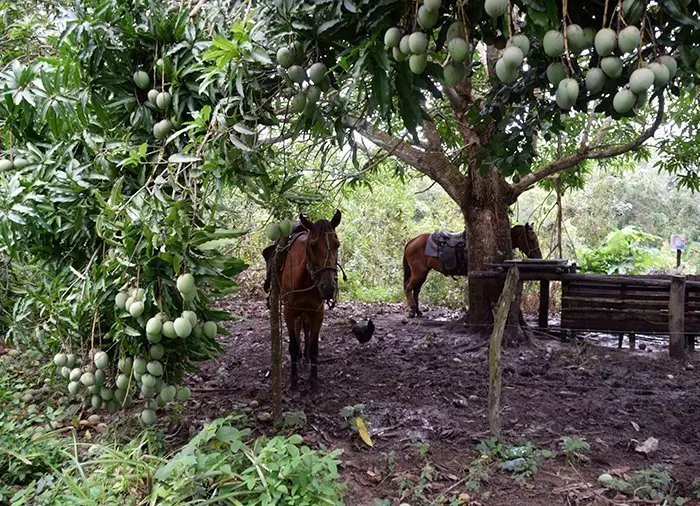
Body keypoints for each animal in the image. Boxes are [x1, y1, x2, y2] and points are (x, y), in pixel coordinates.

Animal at [279, 211, 341, 392]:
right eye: (313, 246)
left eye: (337, 245)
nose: (328, 287)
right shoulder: (289, 311)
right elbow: (293, 345)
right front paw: (293, 379)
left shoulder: (317, 312)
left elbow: (314, 347)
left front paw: (313, 380)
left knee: (304, 328)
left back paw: (304, 356)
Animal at [402, 224, 542, 317]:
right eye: (531, 239)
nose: (539, 257)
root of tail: (412, 241)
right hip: (419, 273)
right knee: (409, 288)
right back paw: (413, 311)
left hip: (422, 273)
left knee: (415, 290)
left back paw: (418, 311)